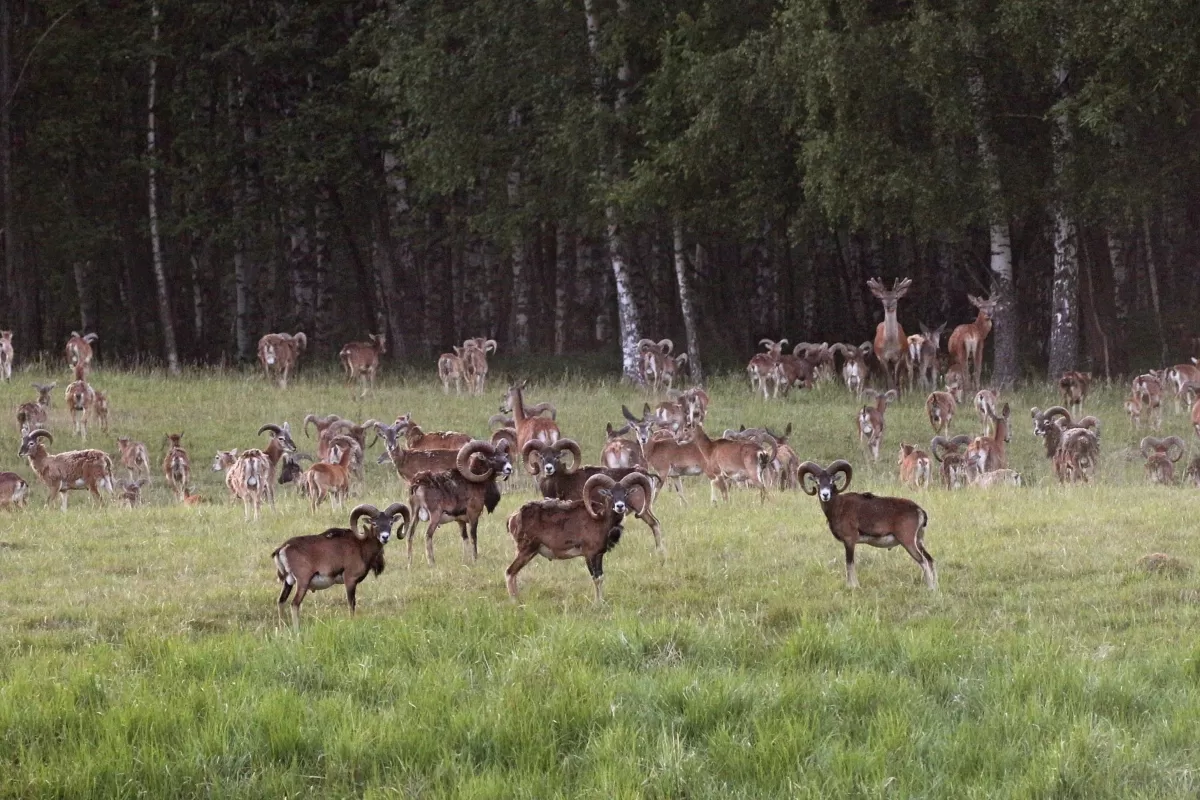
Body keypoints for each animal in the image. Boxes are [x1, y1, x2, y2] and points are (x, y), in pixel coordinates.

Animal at [270, 506, 410, 633]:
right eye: (374, 523)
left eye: (390, 522)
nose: (385, 537)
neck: (361, 546)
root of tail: (282, 548)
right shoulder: (350, 581)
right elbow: (351, 604)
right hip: (302, 583)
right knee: (294, 604)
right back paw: (297, 631)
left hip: (288, 583)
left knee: (281, 602)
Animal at [504, 470, 657, 599]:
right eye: (610, 493)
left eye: (626, 493)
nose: (620, 506)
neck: (600, 521)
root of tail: (514, 517)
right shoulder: (589, 555)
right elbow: (596, 579)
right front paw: (597, 604)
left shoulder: (599, 555)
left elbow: (601, 577)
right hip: (526, 551)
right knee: (510, 572)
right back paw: (516, 602)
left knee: (513, 574)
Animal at [520, 441, 662, 554]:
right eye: (542, 457)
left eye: (557, 456)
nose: (548, 468)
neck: (562, 482)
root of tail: (645, 474)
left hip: (641, 508)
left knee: (654, 523)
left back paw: (659, 551)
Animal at [796, 462, 936, 587]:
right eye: (817, 482)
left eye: (832, 481)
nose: (825, 494)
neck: (838, 506)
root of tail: (918, 510)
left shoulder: (849, 541)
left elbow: (849, 564)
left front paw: (853, 587)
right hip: (919, 541)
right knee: (930, 560)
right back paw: (936, 588)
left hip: (908, 542)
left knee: (923, 562)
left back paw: (930, 588)